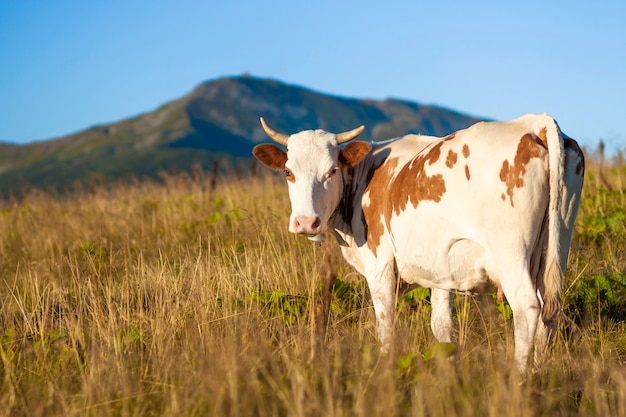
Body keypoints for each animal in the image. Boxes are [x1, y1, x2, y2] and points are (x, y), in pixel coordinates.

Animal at [251, 112, 584, 368]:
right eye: (288, 172)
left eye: (332, 170)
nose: (306, 221)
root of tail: (533, 122)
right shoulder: (441, 269)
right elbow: (442, 326)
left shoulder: (380, 265)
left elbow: (385, 325)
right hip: (555, 247)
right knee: (549, 311)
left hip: (511, 254)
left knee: (527, 308)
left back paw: (519, 378)